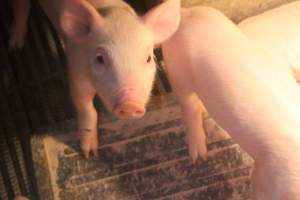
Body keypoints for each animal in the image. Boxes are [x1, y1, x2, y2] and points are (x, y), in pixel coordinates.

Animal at [9, 0, 180, 159]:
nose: (130, 105)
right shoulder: (77, 74)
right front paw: (89, 154)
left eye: (148, 58)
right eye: (99, 58)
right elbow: (86, 109)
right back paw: (15, 46)